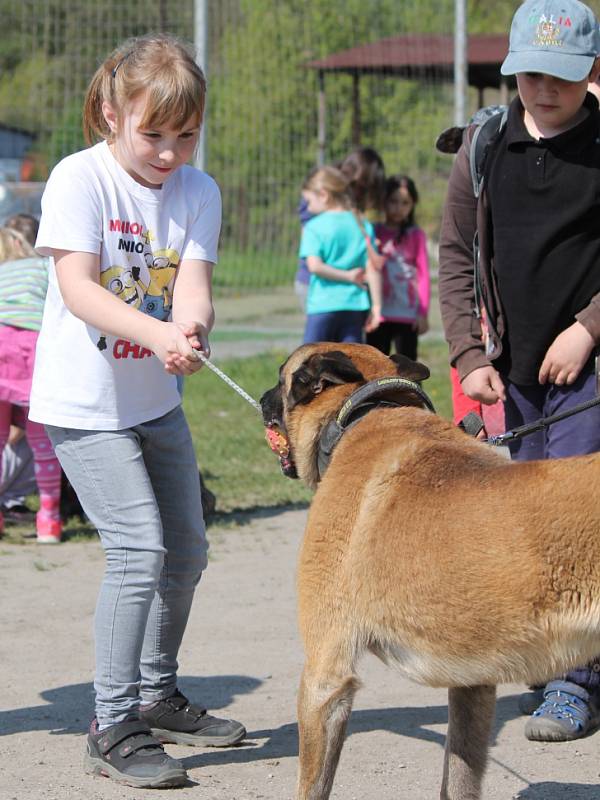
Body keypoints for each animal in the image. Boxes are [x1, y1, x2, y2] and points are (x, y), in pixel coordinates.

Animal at [260, 342, 600, 800]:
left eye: (282, 376)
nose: (262, 399)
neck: (361, 415)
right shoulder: (473, 684)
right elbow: (457, 780)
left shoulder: (325, 677)